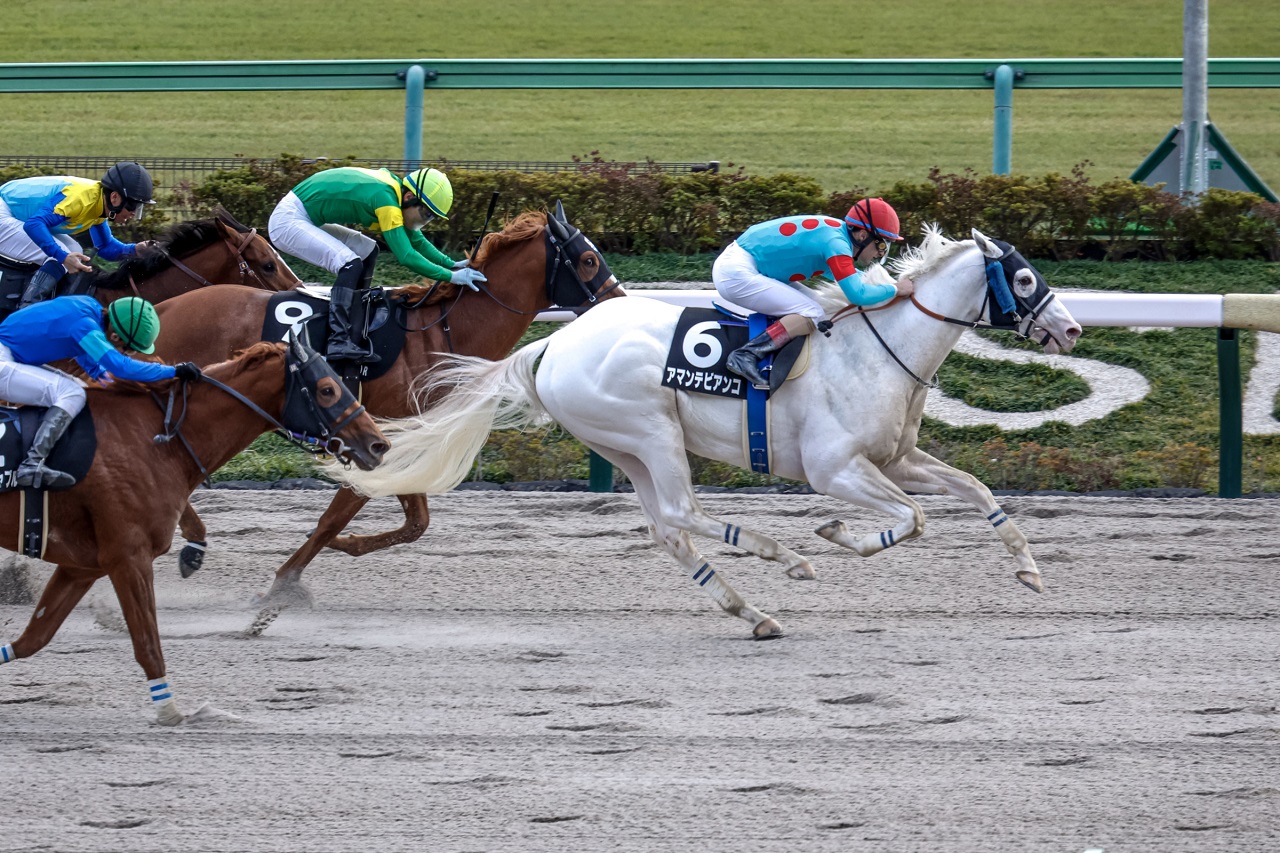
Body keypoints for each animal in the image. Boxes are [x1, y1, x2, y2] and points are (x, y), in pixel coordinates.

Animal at [0, 327, 384, 722]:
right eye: (327, 388)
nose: (378, 444)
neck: (154, 439)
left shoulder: (82, 567)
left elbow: (34, 638)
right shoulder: (128, 557)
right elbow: (148, 643)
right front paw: (172, 712)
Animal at [154, 202, 624, 604]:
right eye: (588, 260)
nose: (620, 304)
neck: (443, 333)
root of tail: (158, 308)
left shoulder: (404, 438)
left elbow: (415, 523)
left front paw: (341, 545)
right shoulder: (373, 436)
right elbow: (338, 516)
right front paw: (282, 586)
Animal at [332, 229, 1080, 635]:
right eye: (1022, 277)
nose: (1071, 328)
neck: (880, 347)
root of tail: (555, 343)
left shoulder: (896, 458)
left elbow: (975, 490)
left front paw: (1029, 570)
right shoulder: (835, 467)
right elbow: (913, 519)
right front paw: (836, 534)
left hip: (623, 445)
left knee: (668, 528)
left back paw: (752, 611)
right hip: (650, 429)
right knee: (683, 511)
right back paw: (784, 557)